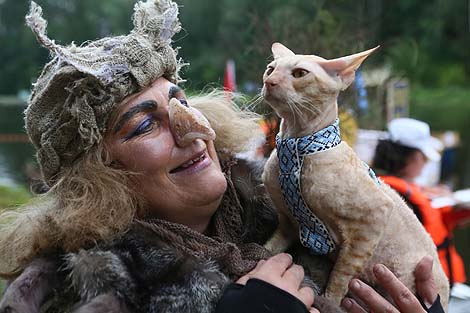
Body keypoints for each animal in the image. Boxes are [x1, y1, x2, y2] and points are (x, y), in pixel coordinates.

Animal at [258, 42, 450, 308]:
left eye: (299, 73)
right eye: (270, 69)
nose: (270, 82)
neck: (295, 145)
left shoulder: (374, 216)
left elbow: (342, 274)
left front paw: (329, 301)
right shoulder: (289, 221)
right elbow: (272, 247)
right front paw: (261, 258)